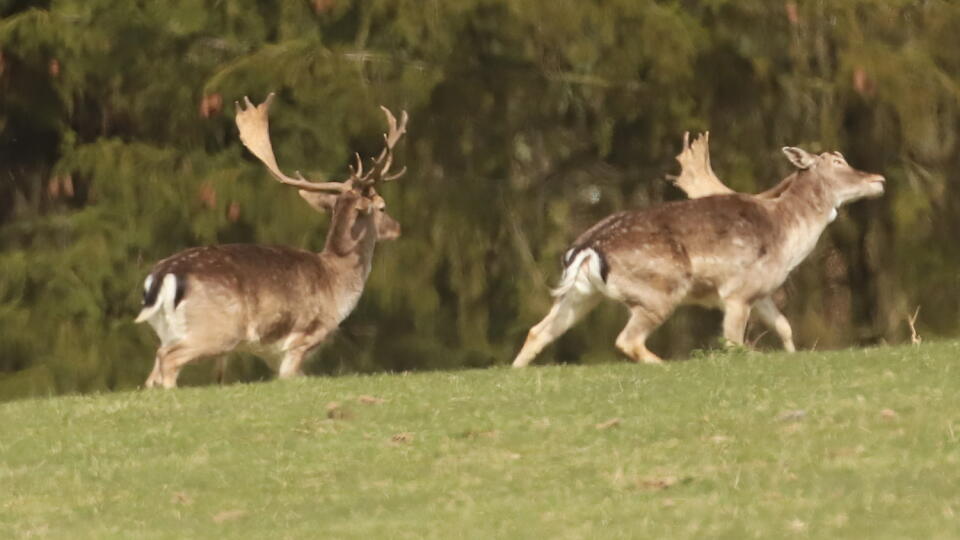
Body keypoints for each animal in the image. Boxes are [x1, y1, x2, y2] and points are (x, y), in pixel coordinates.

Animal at [137, 94, 406, 388]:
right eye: (382, 206)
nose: (397, 227)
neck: (337, 282)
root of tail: (163, 275)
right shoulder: (303, 339)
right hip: (216, 329)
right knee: (168, 359)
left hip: (168, 329)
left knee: (153, 372)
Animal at [510, 134, 884, 368]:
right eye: (837, 160)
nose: (878, 179)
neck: (788, 236)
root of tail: (588, 247)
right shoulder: (737, 292)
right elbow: (733, 340)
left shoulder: (762, 291)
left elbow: (785, 327)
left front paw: (792, 354)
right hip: (659, 291)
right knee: (627, 339)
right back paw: (664, 364)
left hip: (581, 294)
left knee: (538, 330)